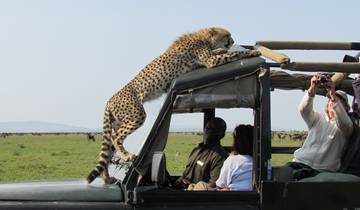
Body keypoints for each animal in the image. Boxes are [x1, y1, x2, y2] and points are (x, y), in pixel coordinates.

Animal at [87, 27, 262, 183]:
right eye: (227, 35)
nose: (232, 40)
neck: (204, 37)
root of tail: (109, 100)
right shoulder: (210, 60)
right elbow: (232, 54)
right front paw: (252, 53)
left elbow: (222, 53)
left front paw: (225, 50)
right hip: (136, 115)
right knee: (116, 138)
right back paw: (126, 156)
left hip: (119, 122)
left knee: (107, 149)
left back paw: (107, 178)